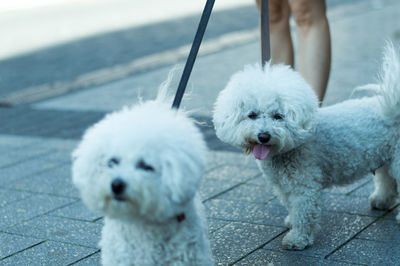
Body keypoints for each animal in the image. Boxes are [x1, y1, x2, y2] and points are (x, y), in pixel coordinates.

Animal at [212, 42, 400, 250]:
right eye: (252, 115)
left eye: (278, 116)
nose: (263, 136)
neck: (286, 151)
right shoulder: (283, 186)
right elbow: (292, 207)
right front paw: (290, 222)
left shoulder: (304, 184)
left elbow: (303, 213)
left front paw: (297, 239)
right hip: (385, 157)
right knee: (387, 180)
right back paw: (381, 201)